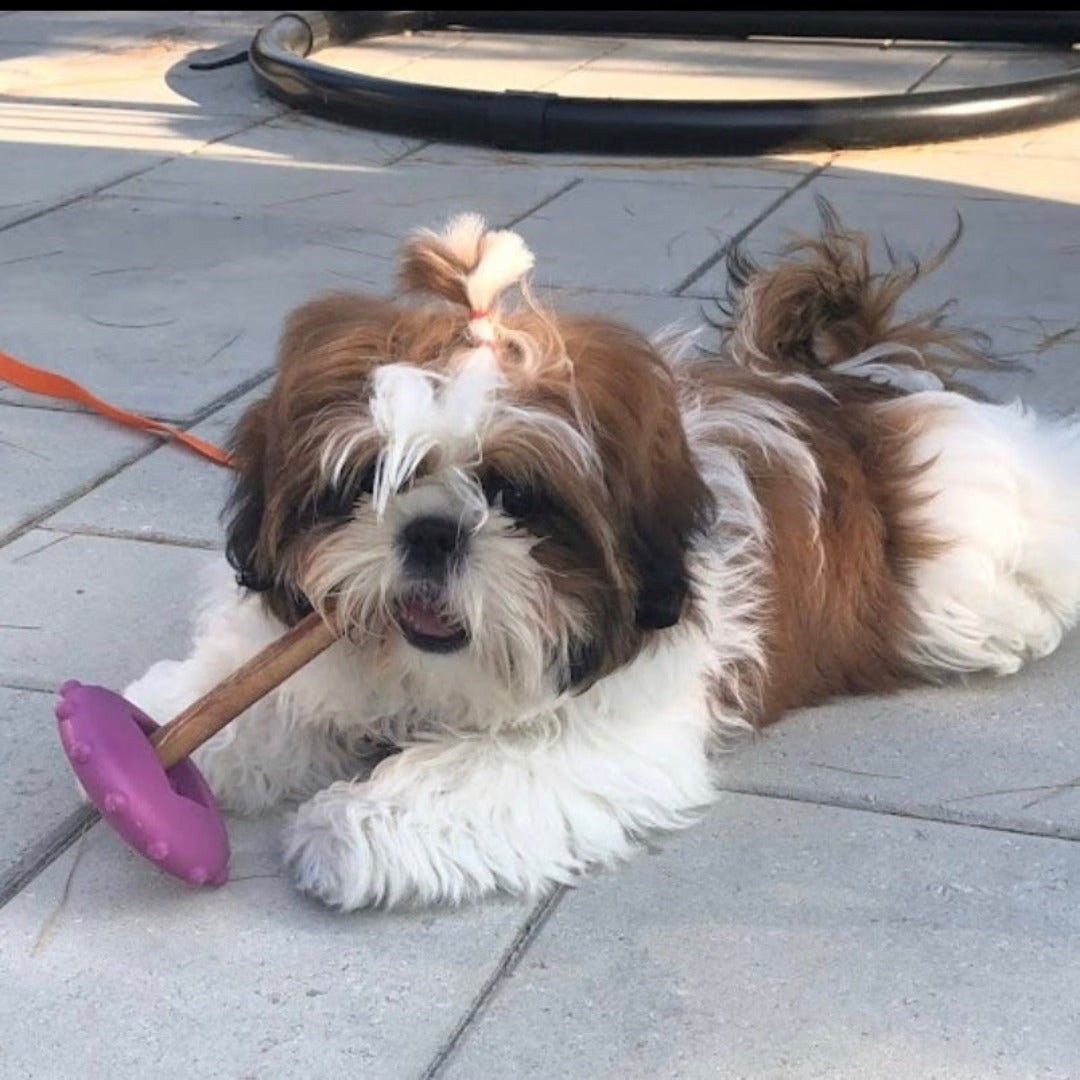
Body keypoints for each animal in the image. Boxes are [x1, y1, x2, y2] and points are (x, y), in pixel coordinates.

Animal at [130, 204, 1080, 911]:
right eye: (367, 479)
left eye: (516, 495)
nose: (431, 531)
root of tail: (862, 393)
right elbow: (249, 696)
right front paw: (162, 736)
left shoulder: (612, 732)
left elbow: (489, 768)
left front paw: (344, 831)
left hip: (963, 559)